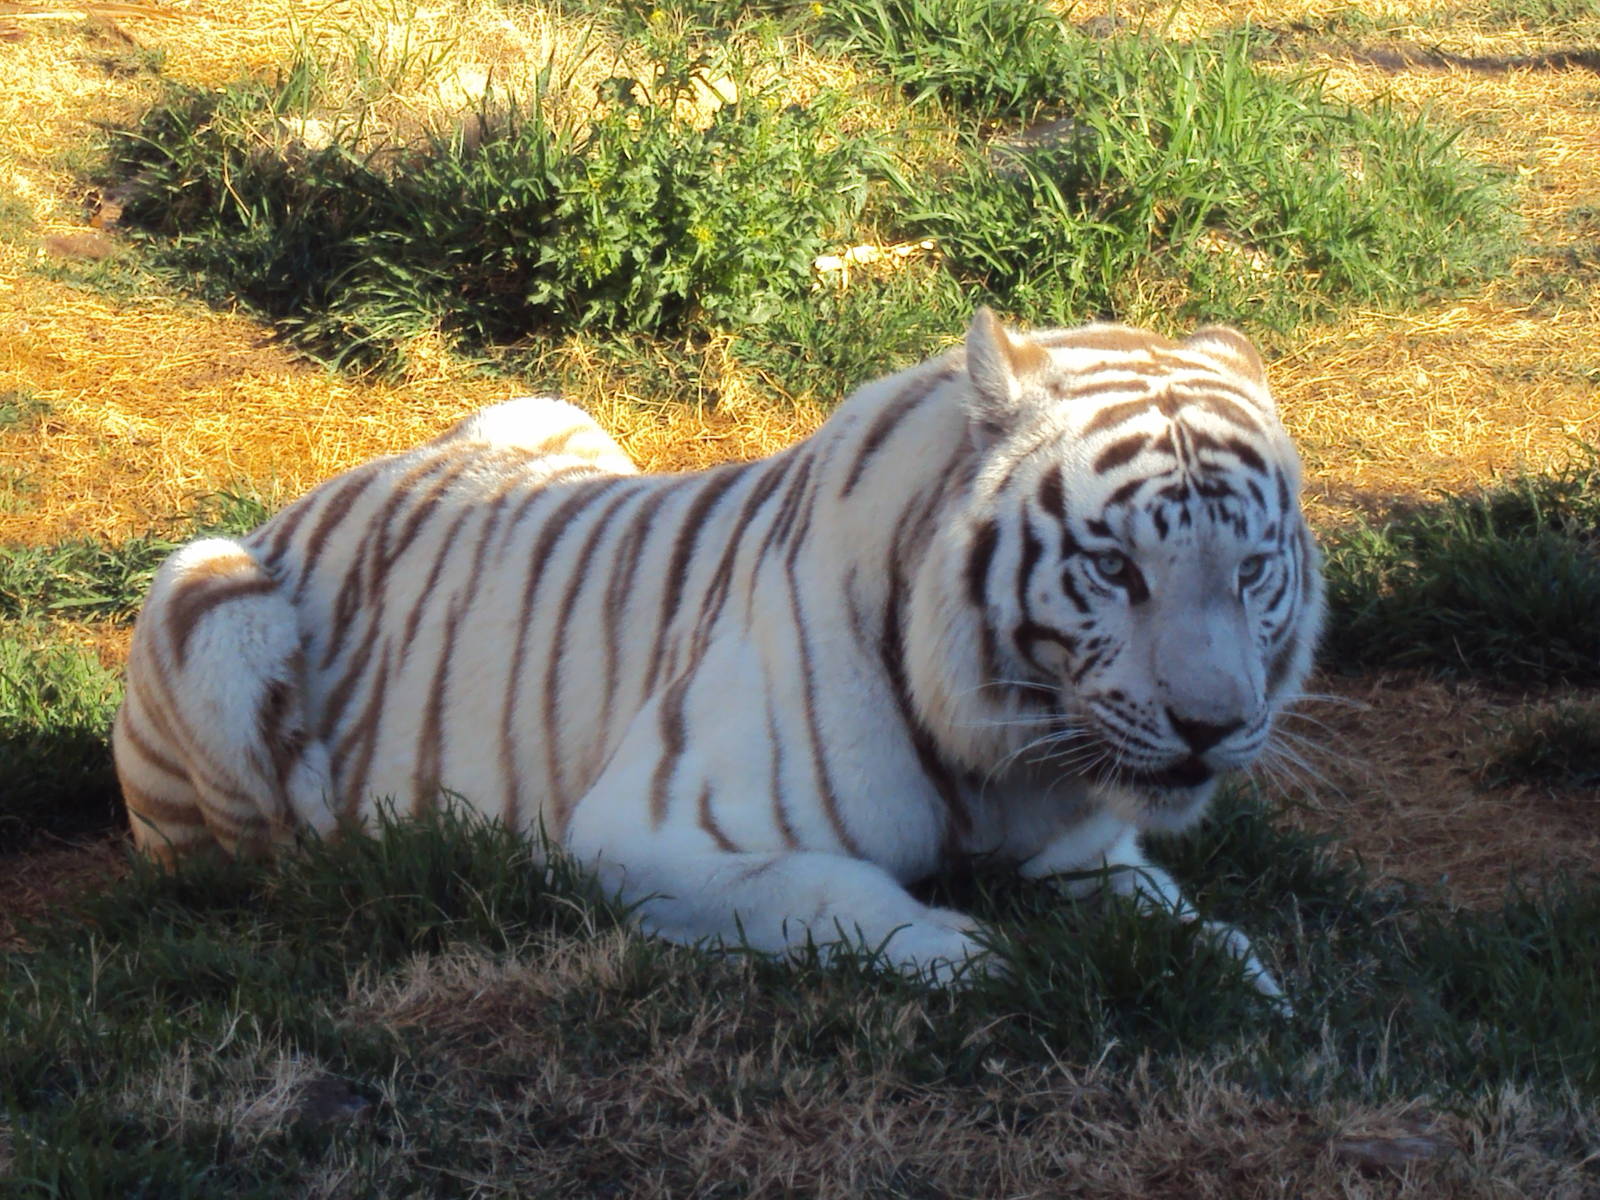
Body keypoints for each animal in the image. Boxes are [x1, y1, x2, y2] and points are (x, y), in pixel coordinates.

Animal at [112, 308, 1323, 997]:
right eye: (1114, 568)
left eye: (1253, 570)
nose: (1212, 729)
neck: (1010, 757)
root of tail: (317, 492)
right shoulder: (646, 835)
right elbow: (837, 895)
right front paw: (976, 954)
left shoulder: (1084, 851)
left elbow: (1187, 921)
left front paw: (1250, 980)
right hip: (206, 594)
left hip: (553, 411)